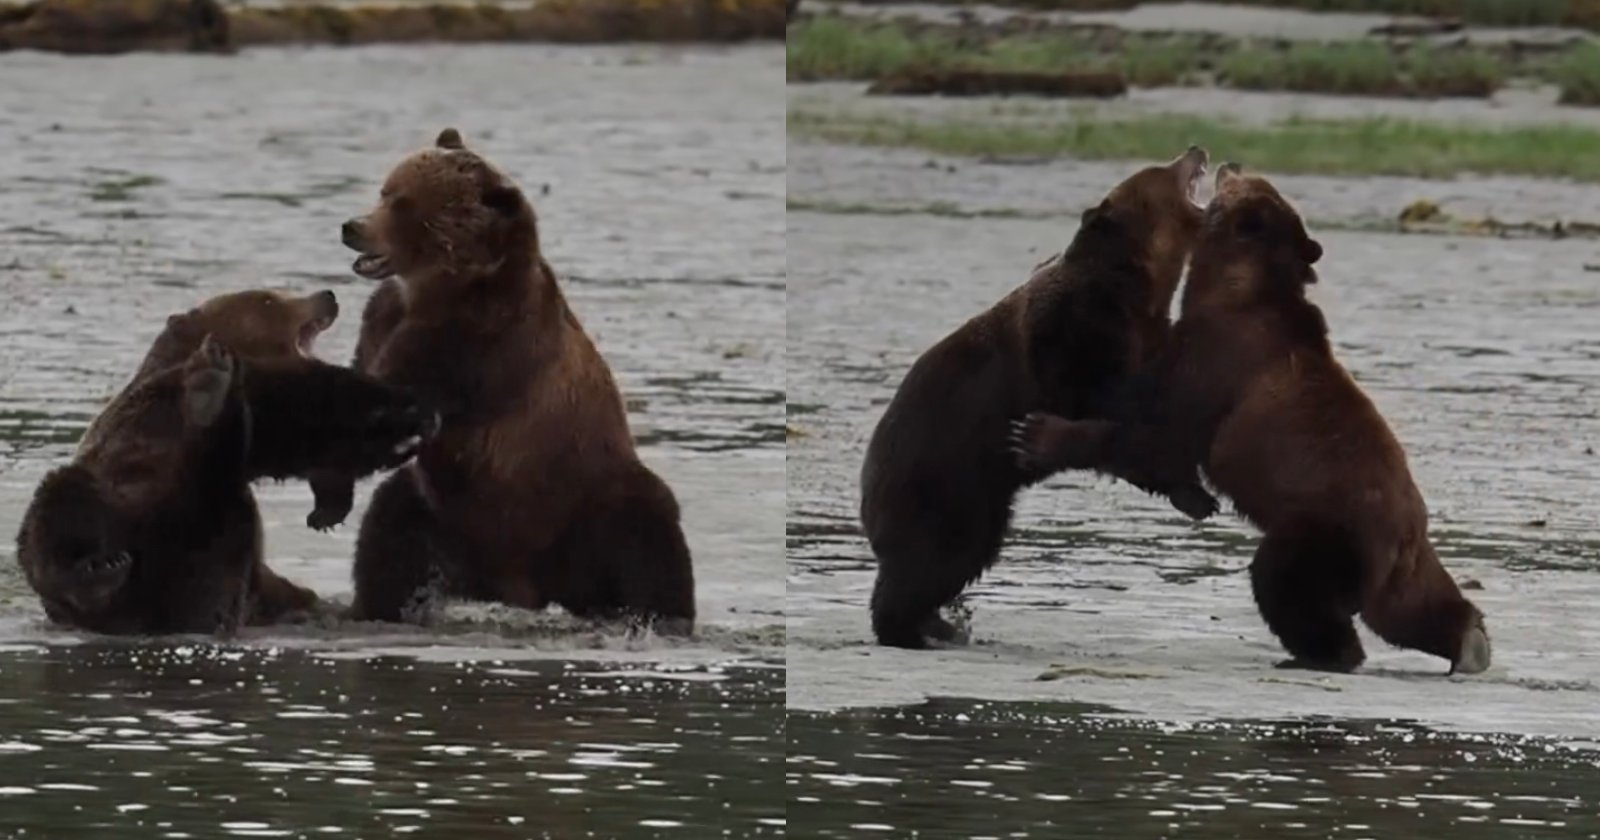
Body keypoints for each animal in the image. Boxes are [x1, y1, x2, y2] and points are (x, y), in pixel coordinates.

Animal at [18, 284, 435, 633]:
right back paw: (98, 572)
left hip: (227, 544)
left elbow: (312, 434)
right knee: (59, 509)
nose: (326, 295)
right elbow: (312, 405)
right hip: (109, 499)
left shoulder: (250, 432)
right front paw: (410, 410)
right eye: (268, 298)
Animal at [337, 128, 694, 633]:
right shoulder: (384, 321)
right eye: (384, 191)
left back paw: (660, 616)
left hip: (588, 500)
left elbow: (402, 394)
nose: (352, 226)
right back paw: (375, 607)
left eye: (404, 204)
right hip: (438, 516)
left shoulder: (476, 341)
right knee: (388, 539)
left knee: (650, 541)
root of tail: (525, 587)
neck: (436, 289)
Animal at [857, 147, 1216, 649]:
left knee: (964, 558)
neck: (1137, 292)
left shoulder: (1143, 334)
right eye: (1163, 169)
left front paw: (1195, 495)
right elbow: (1104, 407)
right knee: (932, 560)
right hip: (941, 480)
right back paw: (911, 628)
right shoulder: (1072, 335)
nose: (1196, 149)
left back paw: (938, 624)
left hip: (981, 499)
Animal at [1017, 164, 1491, 675]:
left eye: (1251, 182)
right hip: (1397, 559)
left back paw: (1323, 654)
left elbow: (1154, 429)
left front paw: (1035, 433)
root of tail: (1403, 533)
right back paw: (1471, 643)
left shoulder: (1215, 361)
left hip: (1321, 526)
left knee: (1286, 583)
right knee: (1408, 609)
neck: (1231, 288)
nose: (1231, 164)